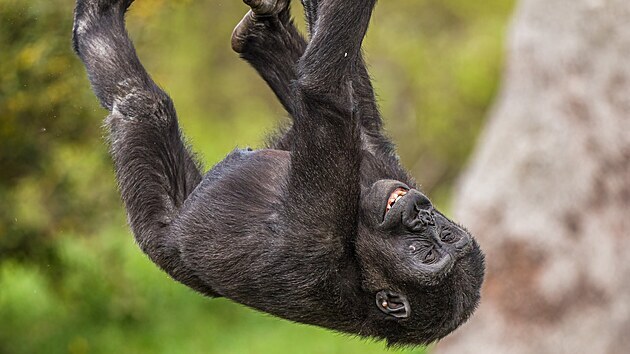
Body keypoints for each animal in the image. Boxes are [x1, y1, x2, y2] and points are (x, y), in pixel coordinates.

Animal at [74, 0, 486, 346]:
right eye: (441, 238)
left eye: (425, 254)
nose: (421, 216)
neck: (358, 249)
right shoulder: (384, 167)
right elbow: (360, 117)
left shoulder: (319, 231)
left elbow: (323, 90)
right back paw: (261, 31)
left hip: (159, 236)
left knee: (141, 103)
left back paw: (97, 19)